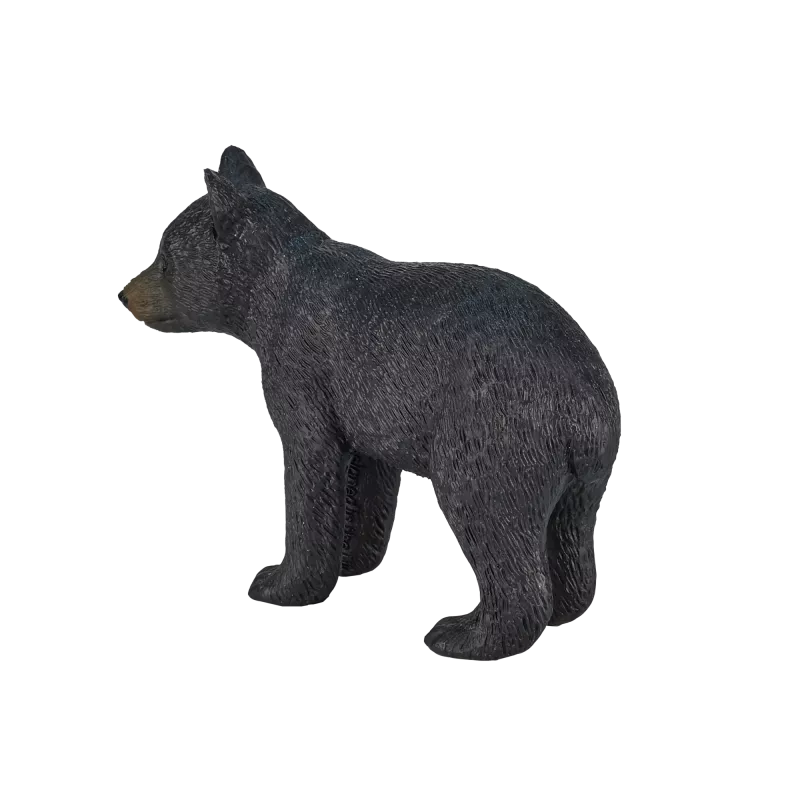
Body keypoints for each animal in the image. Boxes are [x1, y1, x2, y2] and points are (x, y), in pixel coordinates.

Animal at [118, 144, 621, 662]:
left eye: (164, 256)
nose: (124, 293)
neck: (263, 287)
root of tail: (586, 398)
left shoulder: (299, 364)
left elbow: (310, 466)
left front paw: (278, 583)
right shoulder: (365, 404)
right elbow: (366, 476)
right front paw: (347, 560)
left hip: (494, 425)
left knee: (489, 516)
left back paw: (465, 634)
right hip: (582, 471)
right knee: (573, 532)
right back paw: (566, 610)